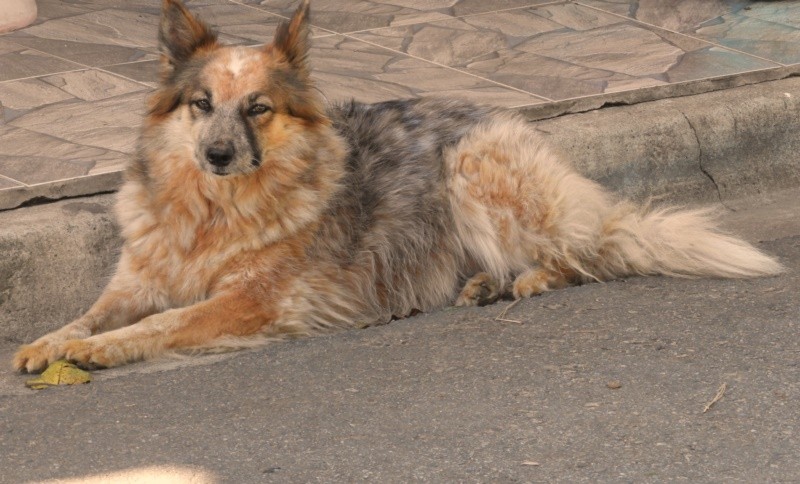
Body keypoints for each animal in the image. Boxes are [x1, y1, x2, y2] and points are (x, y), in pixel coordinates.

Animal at [12, 0, 784, 374]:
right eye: (201, 104)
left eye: (259, 107)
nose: (219, 155)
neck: (212, 214)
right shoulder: (134, 282)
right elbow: (88, 315)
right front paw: (51, 343)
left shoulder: (249, 301)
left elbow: (160, 325)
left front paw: (103, 351)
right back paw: (485, 283)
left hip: (473, 170)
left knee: (588, 255)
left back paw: (530, 279)